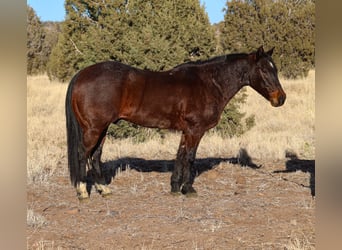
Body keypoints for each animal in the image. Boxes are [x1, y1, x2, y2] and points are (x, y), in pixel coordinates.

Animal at [65, 46, 284, 200]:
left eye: (275, 69)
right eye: (263, 70)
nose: (281, 99)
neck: (208, 83)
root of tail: (81, 74)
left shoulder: (186, 131)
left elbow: (180, 156)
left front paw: (175, 188)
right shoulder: (196, 130)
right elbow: (190, 158)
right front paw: (188, 188)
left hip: (102, 129)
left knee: (95, 155)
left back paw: (104, 189)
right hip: (94, 128)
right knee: (83, 154)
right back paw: (83, 191)